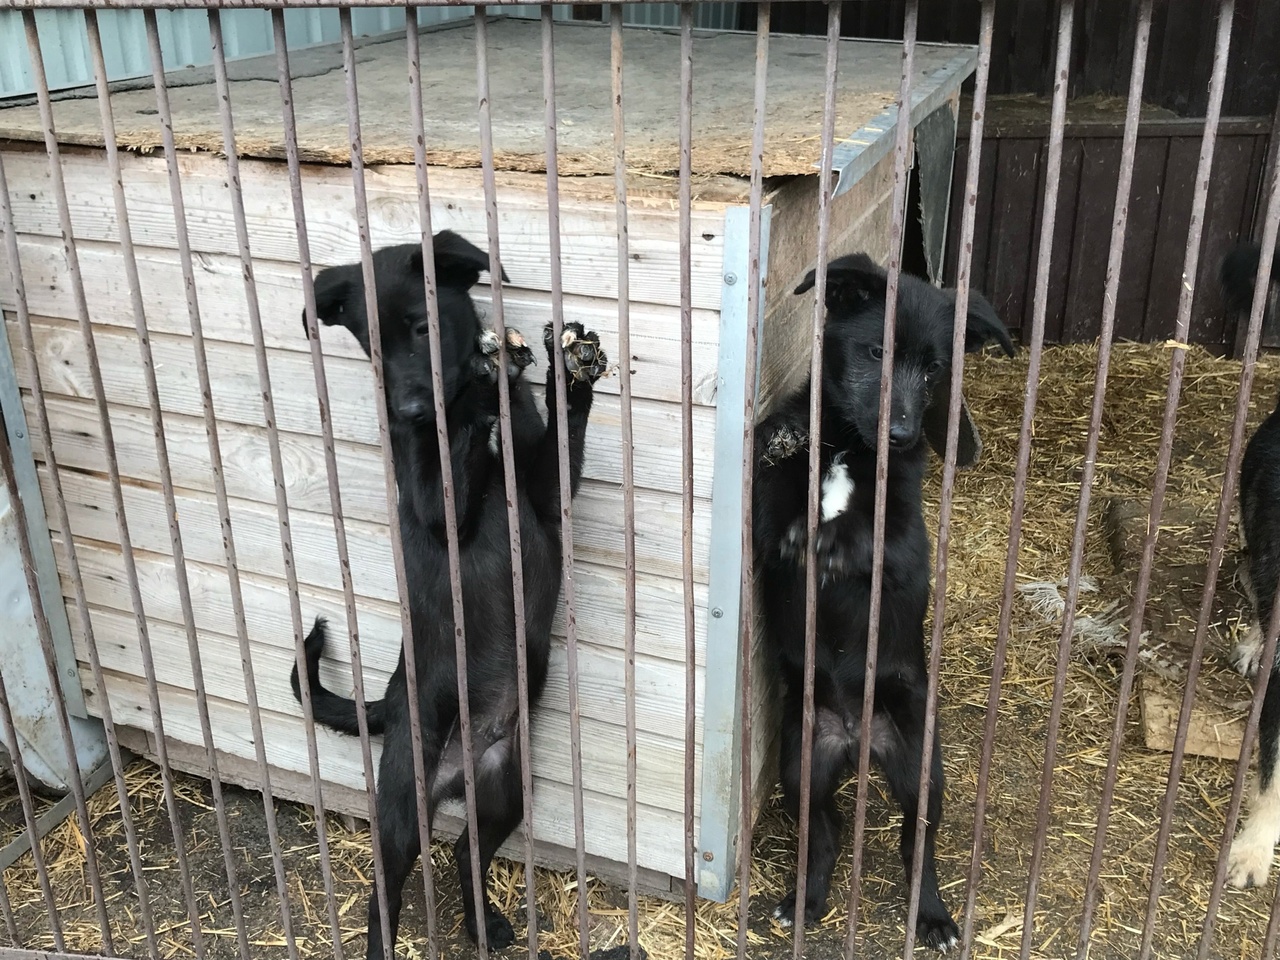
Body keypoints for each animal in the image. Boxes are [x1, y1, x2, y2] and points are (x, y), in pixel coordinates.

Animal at [290, 231, 609, 957]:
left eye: (422, 326)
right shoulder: (442, 509)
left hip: (506, 789)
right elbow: (455, 456)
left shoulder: (543, 491)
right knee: (385, 890)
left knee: (466, 850)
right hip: (404, 806)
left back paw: (485, 926)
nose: (407, 409)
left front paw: (562, 368)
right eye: (371, 343)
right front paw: (493, 375)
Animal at [747, 256, 1008, 957]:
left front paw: (832, 539)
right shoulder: (764, 513)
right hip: (801, 764)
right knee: (827, 835)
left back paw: (934, 918)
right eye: (876, 352)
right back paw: (804, 903)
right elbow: (779, 488)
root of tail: (858, 739)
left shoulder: (909, 546)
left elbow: (872, 534)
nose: (905, 434)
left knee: (917, 845)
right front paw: (786, 440)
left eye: (936, 368)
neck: (850, 447)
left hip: (921, 768)